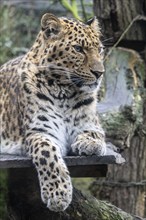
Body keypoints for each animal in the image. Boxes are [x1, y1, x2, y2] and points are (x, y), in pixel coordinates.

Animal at [0, 12, 121, 212]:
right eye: (78, 49)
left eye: (100, 50)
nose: (100, 73)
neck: (65, 93)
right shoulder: (39, 132)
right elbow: (47, 153)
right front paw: (58, 194)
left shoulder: (93, 124)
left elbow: (94, 134)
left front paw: (89, 144)